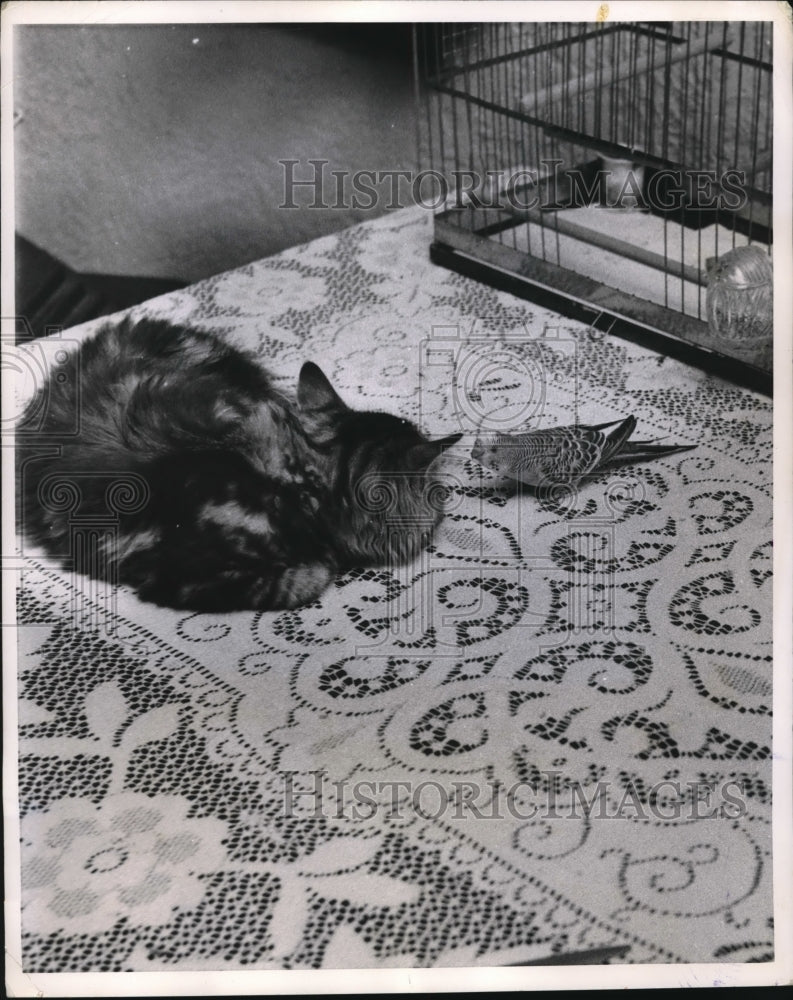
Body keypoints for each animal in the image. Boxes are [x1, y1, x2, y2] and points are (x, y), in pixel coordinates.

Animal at [15, 316, 460, 608]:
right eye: (436, 494)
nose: (446, 497)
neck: (299, 485)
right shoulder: (185, 580)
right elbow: (307, 578)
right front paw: (323, 564)